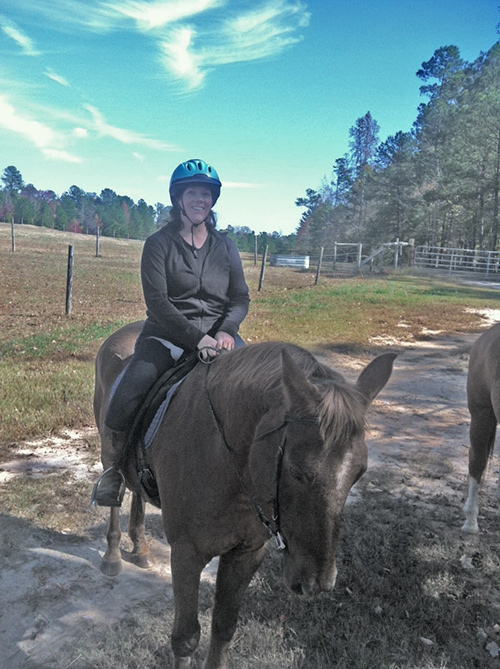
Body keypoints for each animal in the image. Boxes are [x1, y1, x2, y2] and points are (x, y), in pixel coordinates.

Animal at [94, 320, 396, 664]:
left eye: (359, 473)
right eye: (295, 469)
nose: (317, 582)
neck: (230, 466)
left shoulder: (248, 553)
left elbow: (224, 627)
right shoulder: (186, 554)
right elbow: (185, 638)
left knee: (137, 493)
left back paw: (141, 547)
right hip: (109, 448)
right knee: (115, 488)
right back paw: (113, 554)